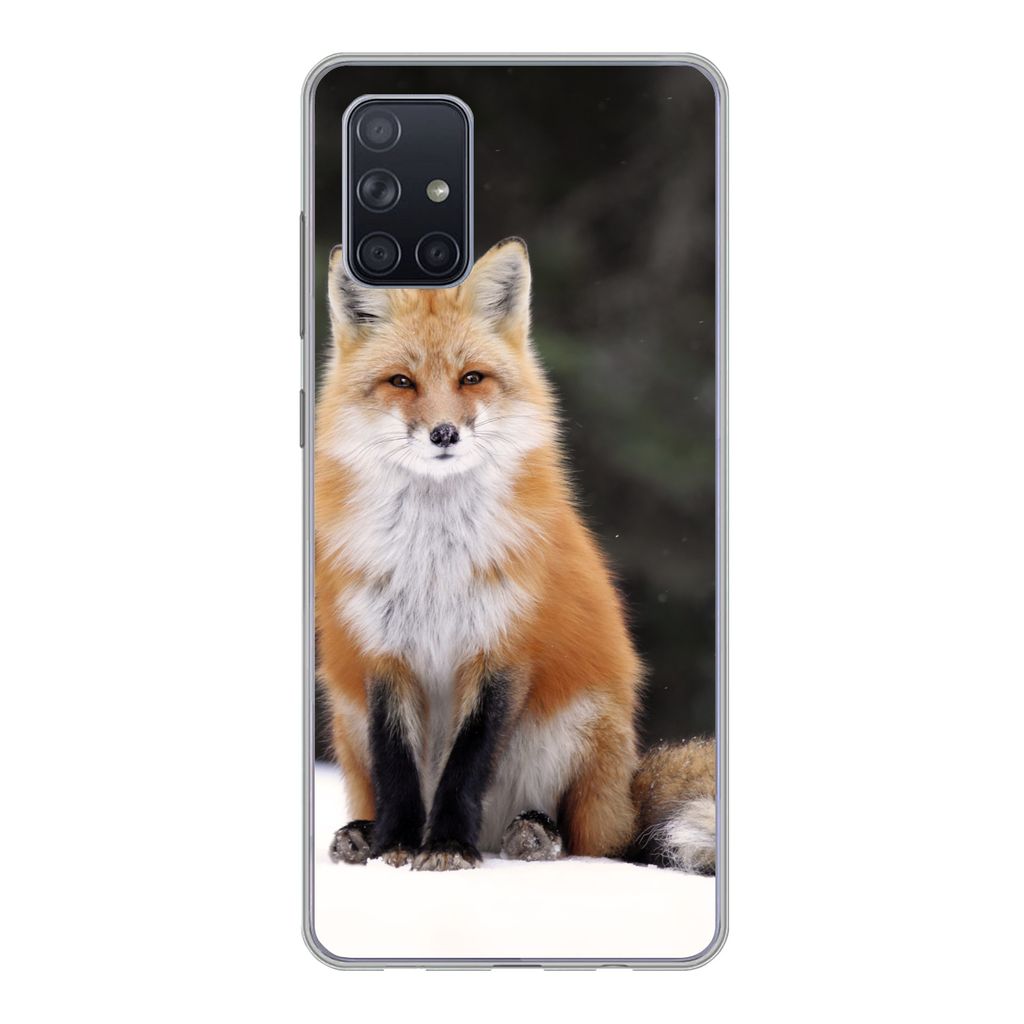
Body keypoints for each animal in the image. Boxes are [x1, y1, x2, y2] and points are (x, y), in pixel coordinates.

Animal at [316, 237, 716, 873]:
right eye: (401, 381)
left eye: (471, 378)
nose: (445, 433)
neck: (435, 564)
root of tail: (626, 794)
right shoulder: (383, 652)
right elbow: (397, 765)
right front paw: (396, 845)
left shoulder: (502, 648)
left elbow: (466, 764)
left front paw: (446, 845)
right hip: (346, 716)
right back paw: (360, 834)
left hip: (579, 727)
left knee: (592, 841)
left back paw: (534, 834)